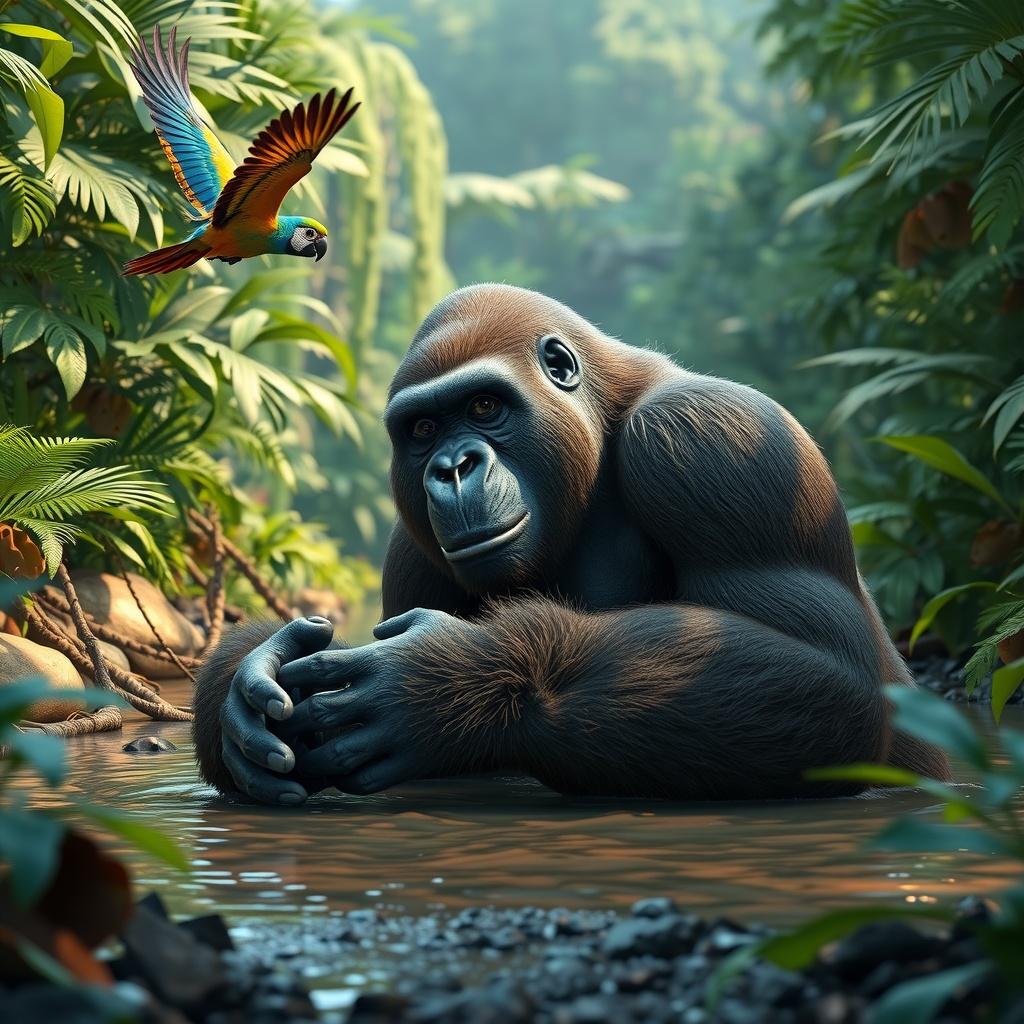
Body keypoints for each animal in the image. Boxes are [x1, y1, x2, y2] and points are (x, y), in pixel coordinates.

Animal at [192, 284, 950, 805]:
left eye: (485, 407)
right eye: (422, 430)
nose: (451, 468)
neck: (602, 419)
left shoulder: (717, 442)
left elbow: (840, 685)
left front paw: (436, 683)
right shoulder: (410, 549)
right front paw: (243, 682)